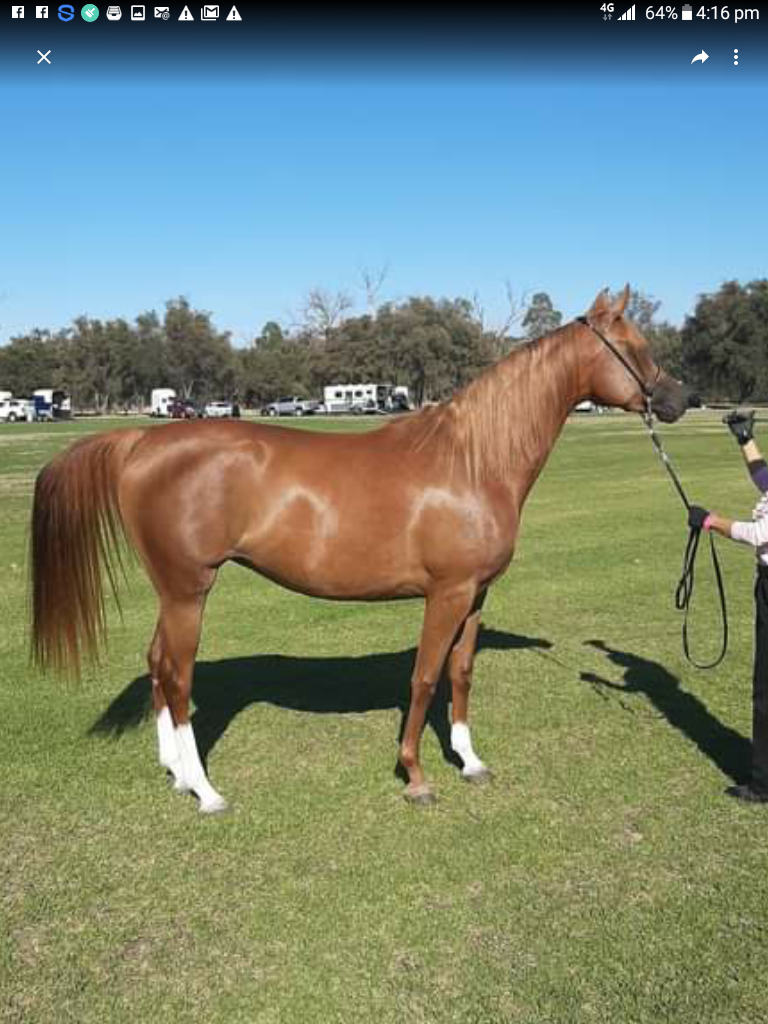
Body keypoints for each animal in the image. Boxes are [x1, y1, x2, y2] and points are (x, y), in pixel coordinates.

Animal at [30, 286, 690, 813]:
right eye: (634, 347)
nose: (678, 400)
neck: (474, 461)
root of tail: (141, 439)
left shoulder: (476, 595)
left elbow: (461, 673)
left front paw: (470, 760)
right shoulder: (446, 594)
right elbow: (424, 677)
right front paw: (415, 774)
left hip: (173, 593)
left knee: (156, 664)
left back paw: (175, 773)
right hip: (189, 590)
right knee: (176, 675)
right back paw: (206, 791)